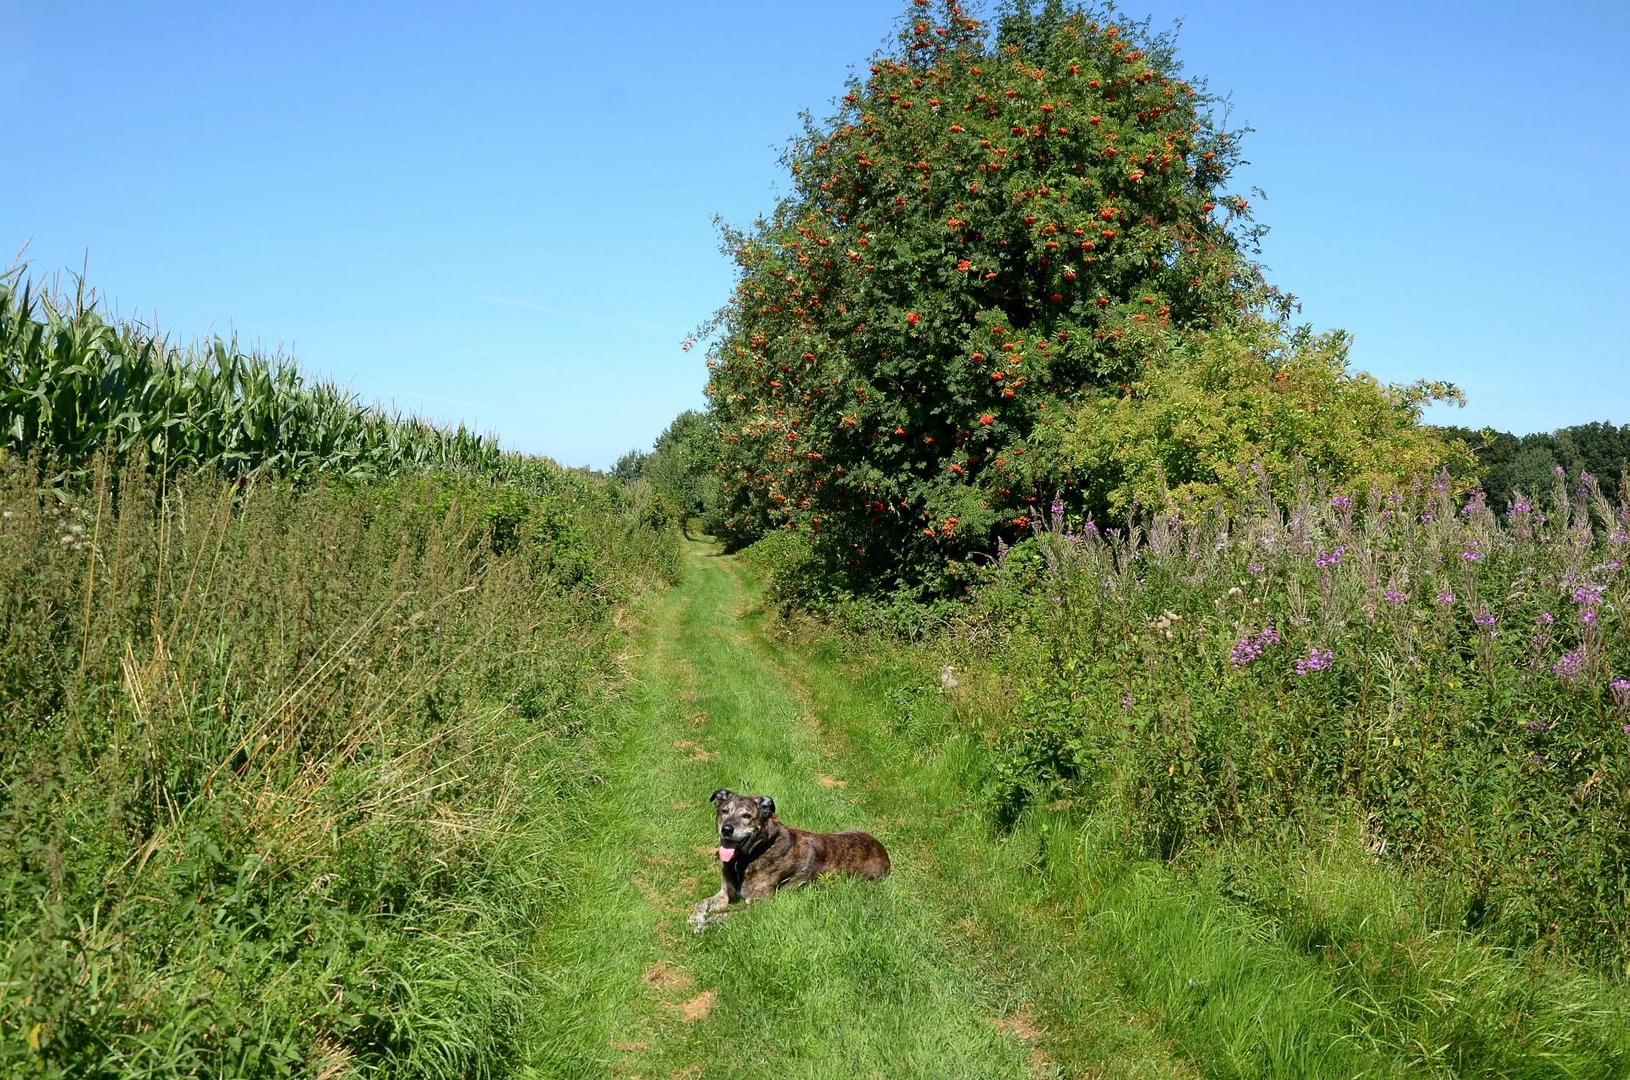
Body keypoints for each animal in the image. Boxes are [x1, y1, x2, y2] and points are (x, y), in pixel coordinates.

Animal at [687, 791, 893, 931]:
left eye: (747, 816)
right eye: (724, 811)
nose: (727, 829)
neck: (749, 856)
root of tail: (883, 851)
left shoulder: (758, 904)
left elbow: (724, 914)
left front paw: (705, 924)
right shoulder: (725, 893)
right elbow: (702, 902)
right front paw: (696, 917)